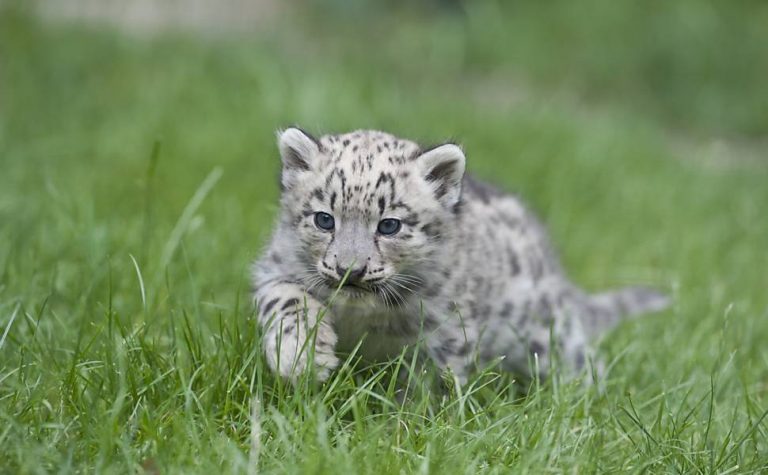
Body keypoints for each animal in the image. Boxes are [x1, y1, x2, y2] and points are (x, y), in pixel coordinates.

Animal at [251, 127, 669, 386]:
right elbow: (286, 301)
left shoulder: (445, 326)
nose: (349, 271)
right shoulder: (277, 268)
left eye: (389, 225)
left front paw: (407, 424)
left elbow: (433, 381)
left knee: (581, 359)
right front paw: (299, 359)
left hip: (547, 333)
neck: (361, 317)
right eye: (324, 219)